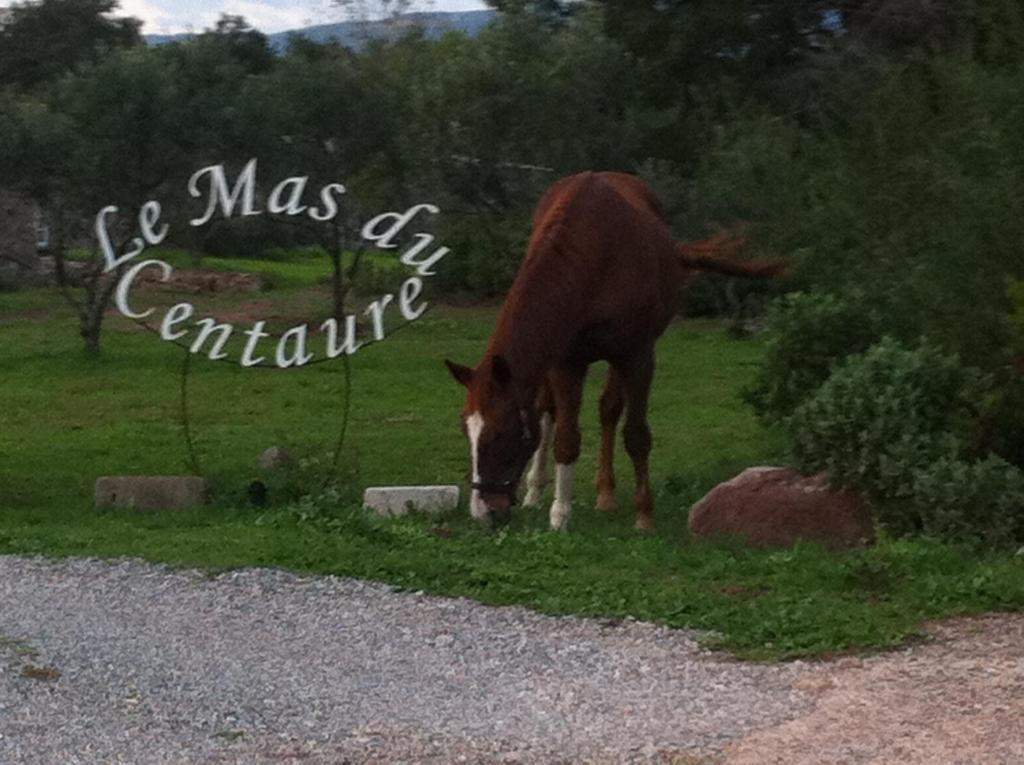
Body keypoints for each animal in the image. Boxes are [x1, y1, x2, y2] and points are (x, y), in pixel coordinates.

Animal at [444, 173, 778, 532]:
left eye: (501, 433)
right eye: (465, 431)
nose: (484, 511)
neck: (595, 258)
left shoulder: (637, 355)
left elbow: (635, 433)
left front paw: (644, 515)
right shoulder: (566, 362)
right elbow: (566, 438)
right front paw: (560, 515)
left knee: (608, 410)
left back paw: (606, 494)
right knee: (549, 411)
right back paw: (536, 491)